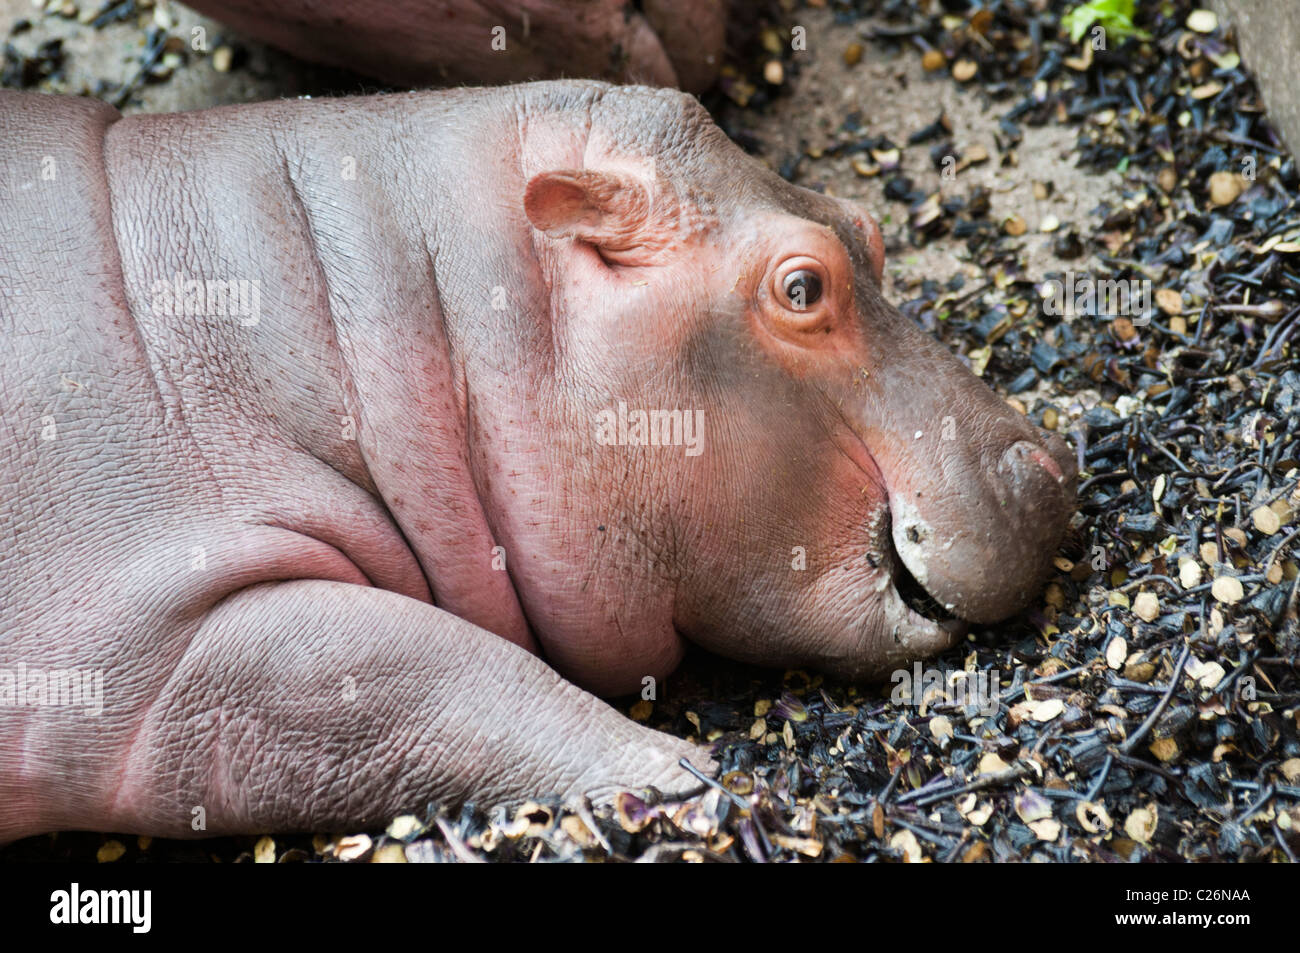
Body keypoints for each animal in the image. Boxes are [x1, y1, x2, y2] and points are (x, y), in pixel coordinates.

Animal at [0, 83, 1076, 842]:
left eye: (869, 223)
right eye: (803, 286)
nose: (1051, 465)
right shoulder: (150, 636)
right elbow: (433, 678)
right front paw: (701, 786)